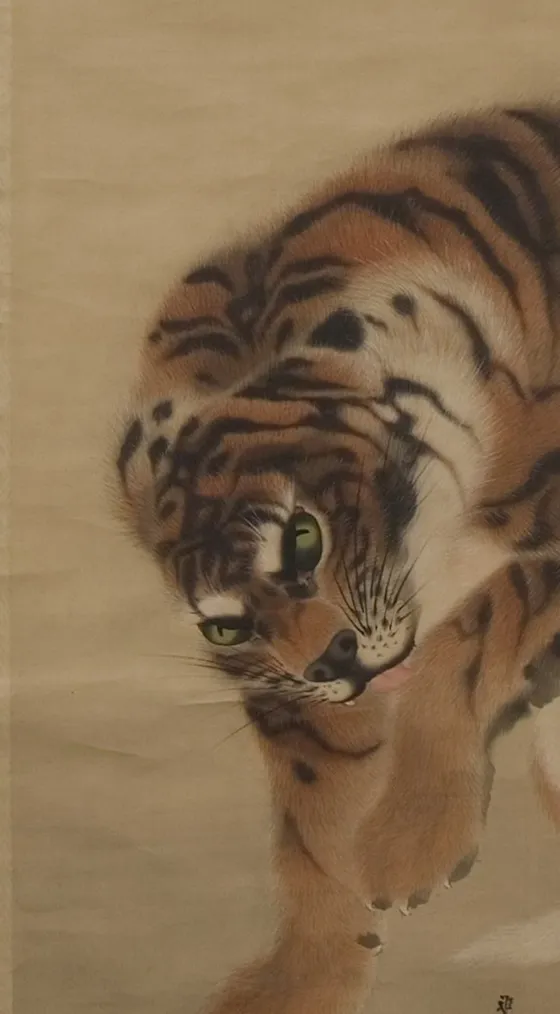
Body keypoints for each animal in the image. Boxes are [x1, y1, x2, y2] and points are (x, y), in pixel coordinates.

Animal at [114, 104, 560, 1013]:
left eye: (303, 537)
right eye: (224, 628)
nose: (335, 662)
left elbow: (473, 632)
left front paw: (411, 842)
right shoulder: (295, 704)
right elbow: (311, 833)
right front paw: (305, 980)